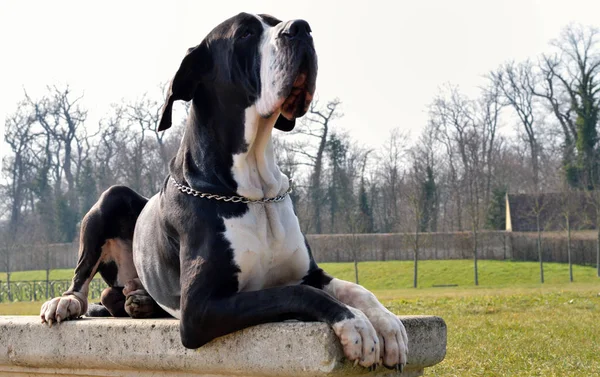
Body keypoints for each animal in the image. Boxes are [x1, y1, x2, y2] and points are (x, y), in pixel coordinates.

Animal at [41, 12, 408, 370]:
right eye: (245, 33)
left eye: (275, 21)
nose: (301, 28)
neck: (255, 191)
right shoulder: (200, 309)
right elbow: (299, 294)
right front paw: (356, 324)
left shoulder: (310, 273)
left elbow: (355, 289)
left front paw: (388, 327)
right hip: (111, 197)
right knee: (83, 277)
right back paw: (66, 301)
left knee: (112, 297)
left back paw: (141, 301)